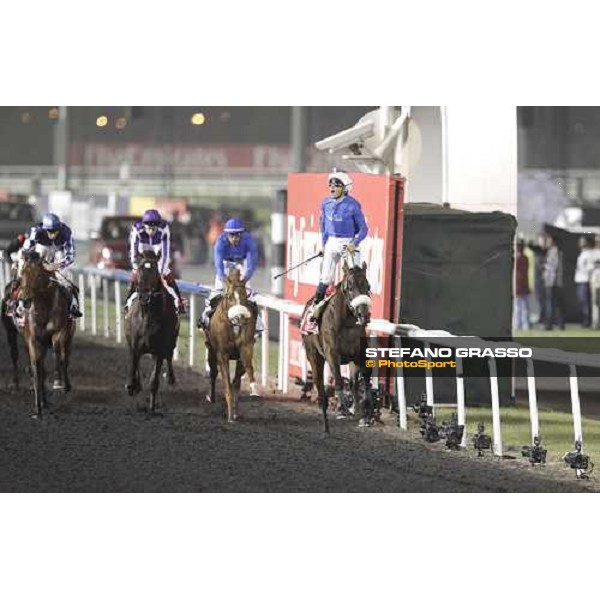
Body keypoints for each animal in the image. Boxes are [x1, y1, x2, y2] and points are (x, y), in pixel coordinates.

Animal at [16, 251, 76, 414]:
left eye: (38, 275)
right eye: (22, 273)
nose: (25, 300)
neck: (44, 307)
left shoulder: (59, 333)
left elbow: (58, 355)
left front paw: (58, 382)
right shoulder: (33, 340)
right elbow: (38, 369)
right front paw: (38, 405)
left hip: (69, 337)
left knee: (65, 358)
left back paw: (65, 384)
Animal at [125, 250, 179, 412]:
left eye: (155, 270)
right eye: (140, 269)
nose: (144, 295)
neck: (148, 316)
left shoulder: (159, 351)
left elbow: (154, 381)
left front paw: (152, 407)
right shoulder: (134, 346)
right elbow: (133, 365)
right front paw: (132, 386)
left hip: (172, 341)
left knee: (170, 356)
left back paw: (171, 379)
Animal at [204, 268, 258, 422]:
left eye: (245, 295)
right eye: (229, 296)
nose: (240, 317)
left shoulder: (246, 349)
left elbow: (247, 370)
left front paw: (253, 392)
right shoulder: (222, 354)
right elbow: (226, 383)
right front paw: (229, 416)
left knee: (237, 380)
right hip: (211, 351)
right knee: (213, 373)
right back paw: (211, 397)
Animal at [302, 260, 372, 434]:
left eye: (368, 286)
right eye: (350, 287)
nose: (364, 315)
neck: (347, 323)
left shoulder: (359, 354)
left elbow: (363, 380)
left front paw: (364, 415)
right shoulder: (332, 354)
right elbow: (339, 381)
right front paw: (342, 409)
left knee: (353, 383)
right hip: (314, 357)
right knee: (321, 390)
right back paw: (326, 426)